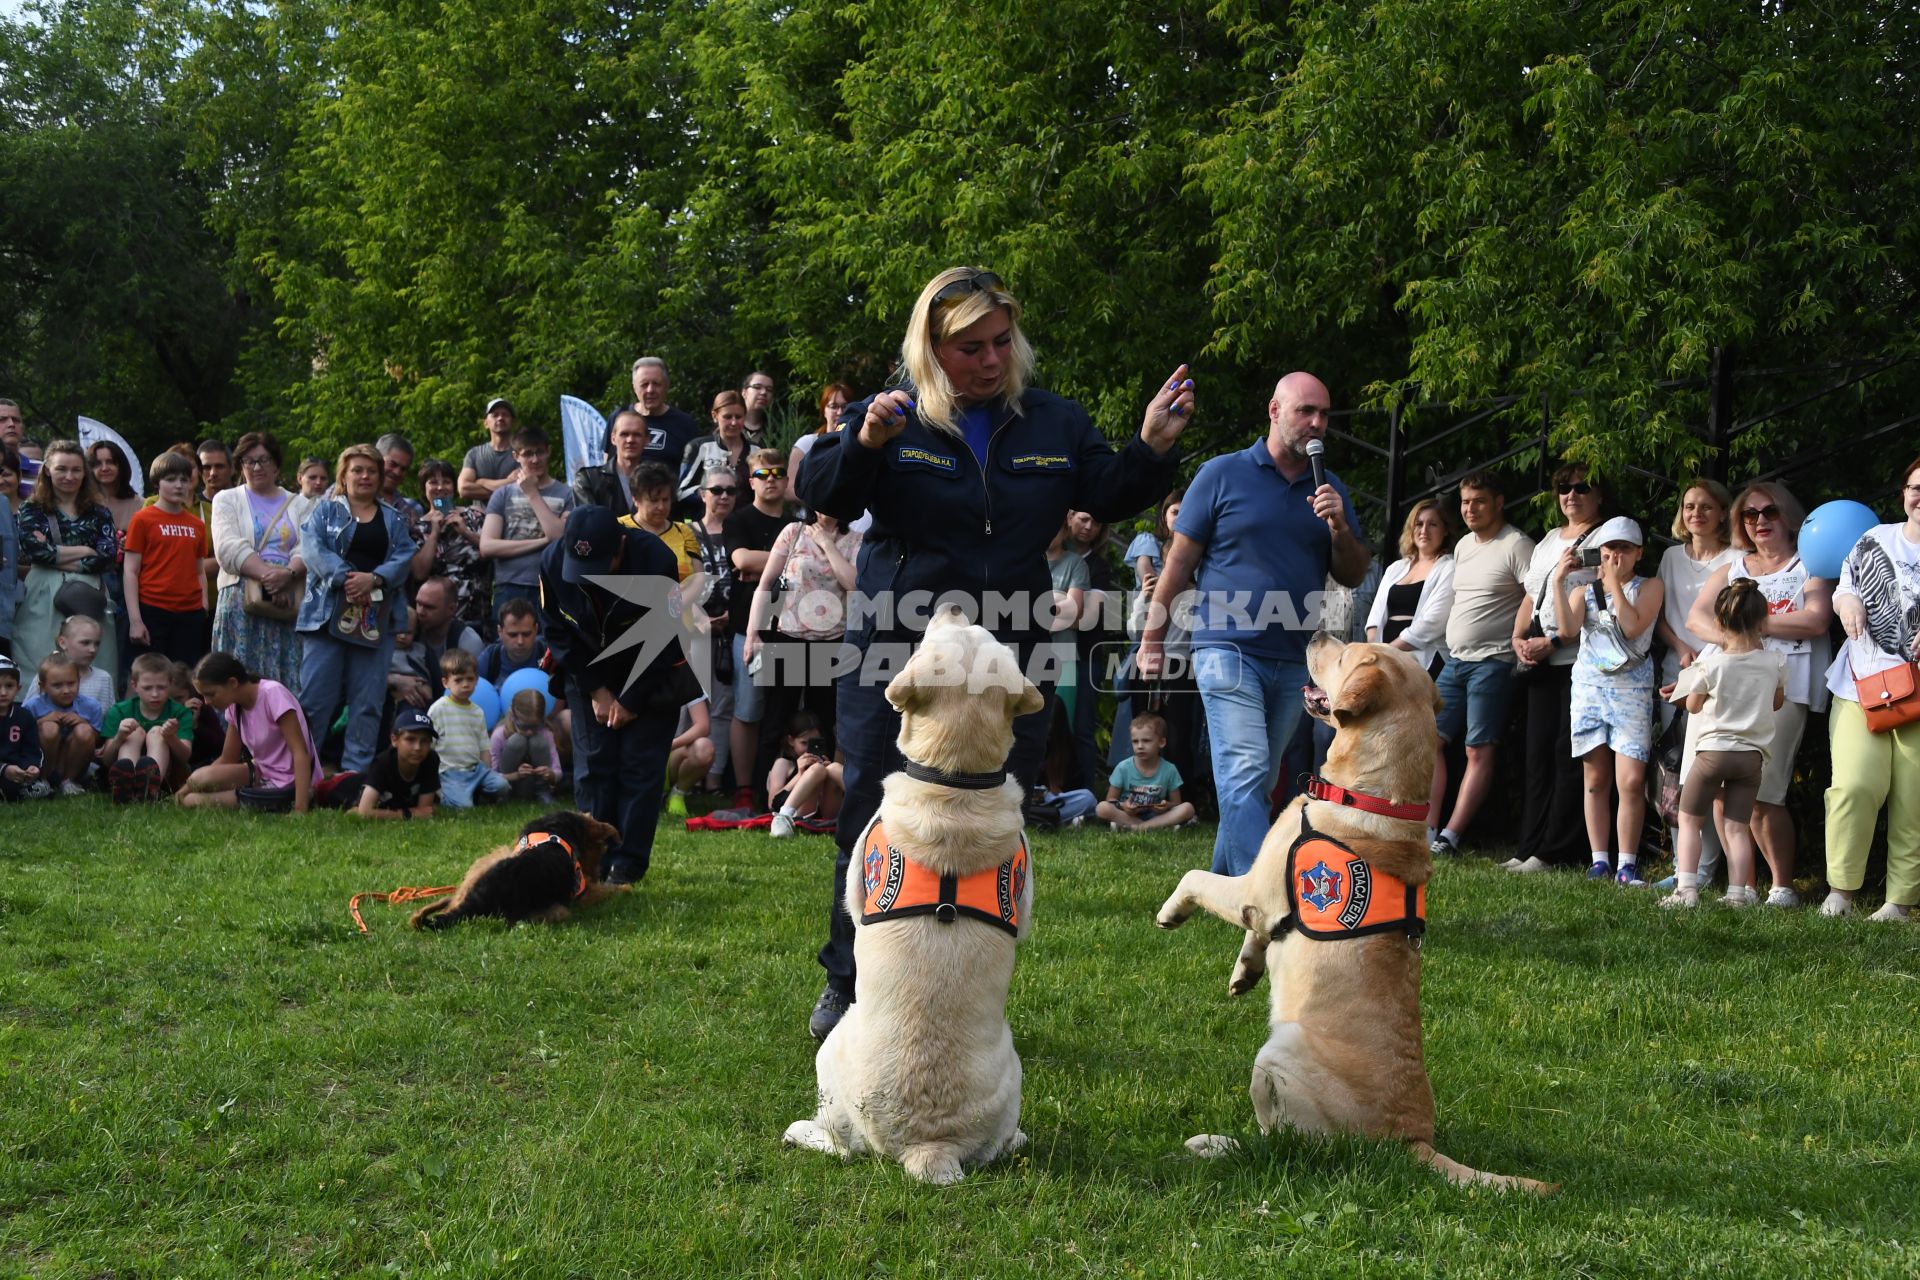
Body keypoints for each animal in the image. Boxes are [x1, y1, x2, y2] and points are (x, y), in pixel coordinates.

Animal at [408, 809, 625, 932]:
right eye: (601, 849)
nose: (596, 875)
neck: (556, 831)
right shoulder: (582, 893)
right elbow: (609, 891)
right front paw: (625, 888)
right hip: (556, 911)